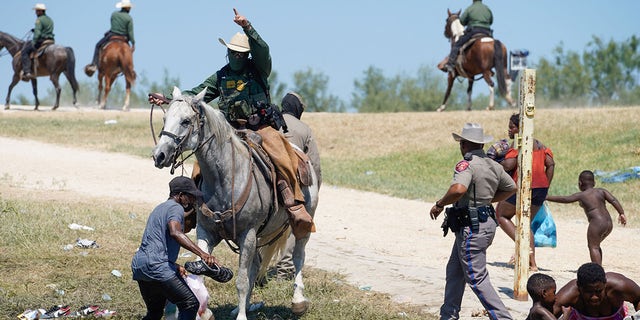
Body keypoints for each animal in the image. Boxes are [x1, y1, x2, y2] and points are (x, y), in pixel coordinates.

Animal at [152, 87, 318, 320]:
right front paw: (205, 312)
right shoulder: (207, 231)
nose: (159, 155)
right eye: (165, 118)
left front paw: (241, 316)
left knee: (298, 257)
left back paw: (298, 301)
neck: (225, 178)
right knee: (256, 265)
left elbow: (241, 280)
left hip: (301, 222)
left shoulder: (247, 234)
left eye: (186, 121)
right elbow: (203, 267)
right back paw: (246, 305)